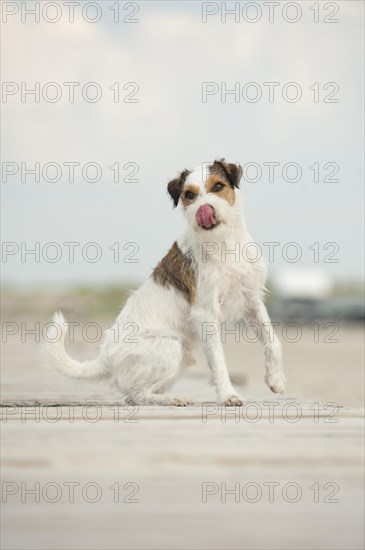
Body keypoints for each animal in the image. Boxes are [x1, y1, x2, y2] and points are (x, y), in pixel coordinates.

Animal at [45, 160, 286, 406]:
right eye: (189, 195)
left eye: (218, 186)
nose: (204, 210)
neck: (225, 243)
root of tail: (105, 358)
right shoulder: (206, 313)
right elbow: (218, 361)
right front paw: (229, 394)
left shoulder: (252, 300)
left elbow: (273, 340)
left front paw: (275, 379)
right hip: (170, 345)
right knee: (137, 395)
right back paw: (172, 399)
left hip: (180, 359)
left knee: (134, 396)